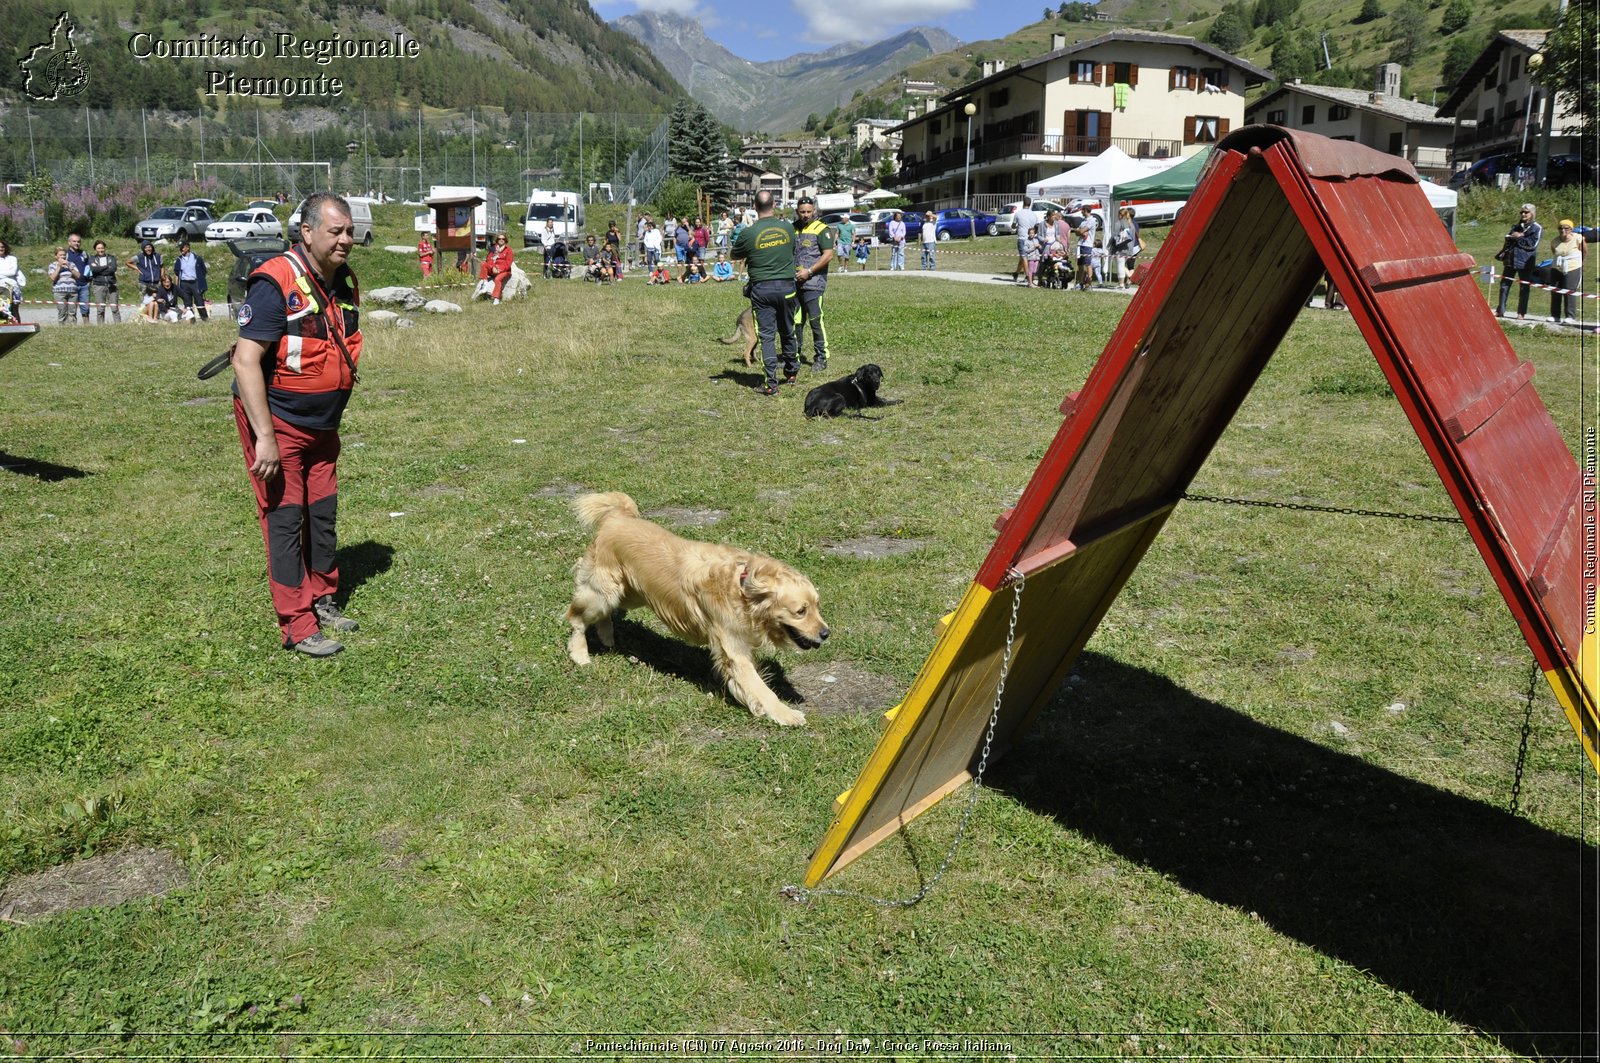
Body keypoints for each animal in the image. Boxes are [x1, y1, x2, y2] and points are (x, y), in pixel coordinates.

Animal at [563, 493, 832, 726]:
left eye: (817, 606)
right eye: (801, 611)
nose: (826, 633)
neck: (742, 589)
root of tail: (617, 517)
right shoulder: (733, 649)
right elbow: (760, 688)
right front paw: (786, 714)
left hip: (630, 594)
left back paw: (607, 637)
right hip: (602, 593)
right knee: (576, 616)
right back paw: (580, 653)